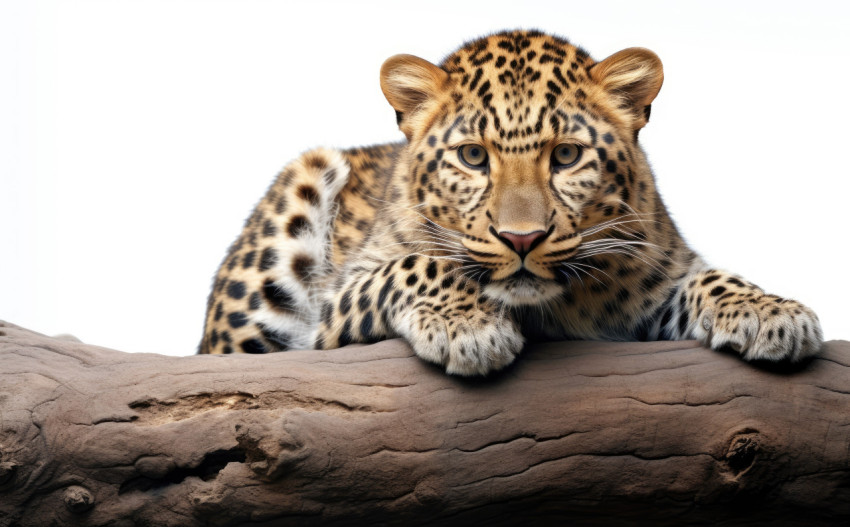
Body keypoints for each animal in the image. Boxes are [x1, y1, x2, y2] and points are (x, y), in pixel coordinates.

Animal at [197, 29, 820, 376]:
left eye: (566, 156)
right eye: (473, 157)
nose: (522, 239)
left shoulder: (654, 276)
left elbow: (707, 278)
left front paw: (773, 313)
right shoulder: (333, 310)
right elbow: (417, 264)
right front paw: (469, 327)